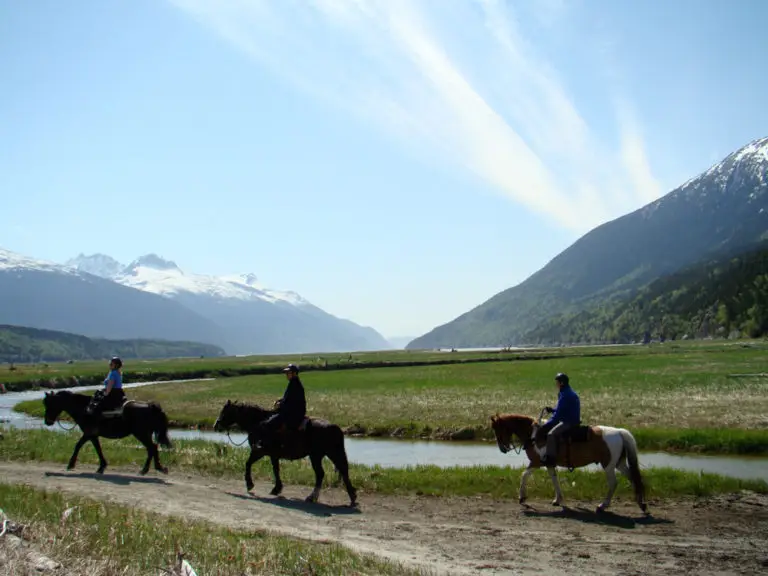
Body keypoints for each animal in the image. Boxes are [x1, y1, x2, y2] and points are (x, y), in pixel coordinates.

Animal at [43, 392, 174, 476]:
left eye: (49, 404)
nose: (47, 422)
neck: (84, 409)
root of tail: (150, 406)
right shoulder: (93, 435)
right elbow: (98, 449)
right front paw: (101, 467)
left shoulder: (88, 433)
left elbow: (78, 445)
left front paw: (71, 464)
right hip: (145, 434)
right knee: (152, 448)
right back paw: (155, 468)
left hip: (141, 433)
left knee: (152, 448)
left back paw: (148, 469)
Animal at [213, 398, 356, 506]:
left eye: (224, 411)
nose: (216, 425)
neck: (258, 423)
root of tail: (335, 427)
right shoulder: (272, 455)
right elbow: (275, 469)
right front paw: (276, 488)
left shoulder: (259, 451)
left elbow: (249, 464)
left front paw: (250, 484)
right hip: (329, 454)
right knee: (342, 471)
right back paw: (352, 496)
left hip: (317, 456)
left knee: (321, 474)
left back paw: (312, 497)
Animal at [488, 410, 644, 512]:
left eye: (497, 429)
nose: (502, 448)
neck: (534, 435)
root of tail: (619, 432)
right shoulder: (549, 464)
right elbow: (554, 479)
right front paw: (558, 499)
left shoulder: (536, 462)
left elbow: (524, 475)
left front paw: (522, 498)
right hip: (619, 463)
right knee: (632, 477)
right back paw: (641, 502)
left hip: (609, 465)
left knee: (613, 483)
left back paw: (603, 505)